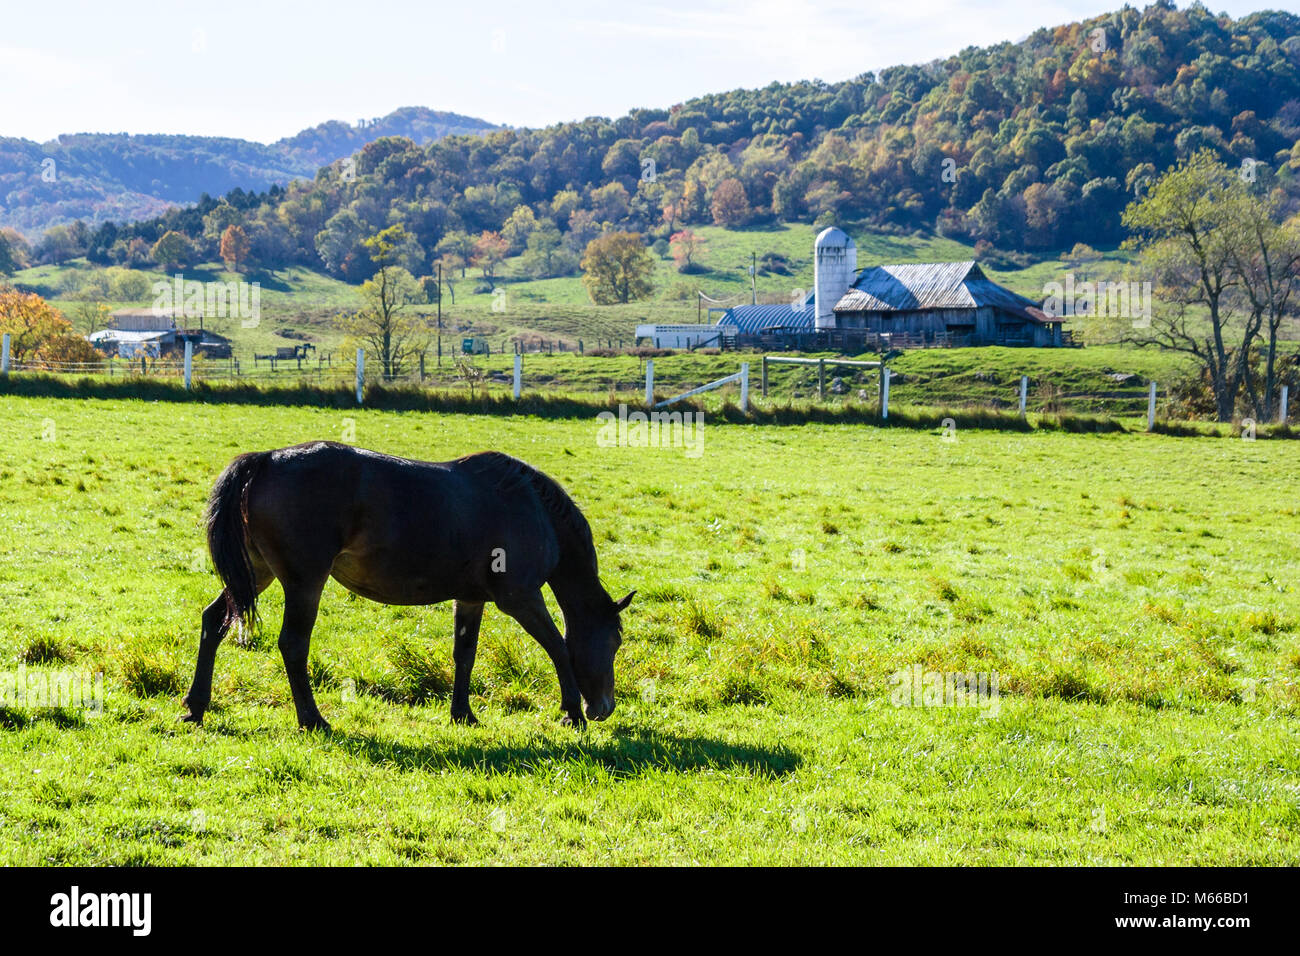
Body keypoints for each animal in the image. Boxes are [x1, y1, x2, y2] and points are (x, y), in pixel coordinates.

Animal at [181, 442, 633, 732]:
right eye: (614, 642)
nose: (604, 708)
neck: (532, 508)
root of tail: (266, 461)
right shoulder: (520, 599)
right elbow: (558, 647)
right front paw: (571, 713)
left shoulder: (471, 599)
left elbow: (464, 655)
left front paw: (462, 714)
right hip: (303, 582)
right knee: (292, 644)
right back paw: (313, 720)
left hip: (257, 573)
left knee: (214, 622)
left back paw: (196, 706)